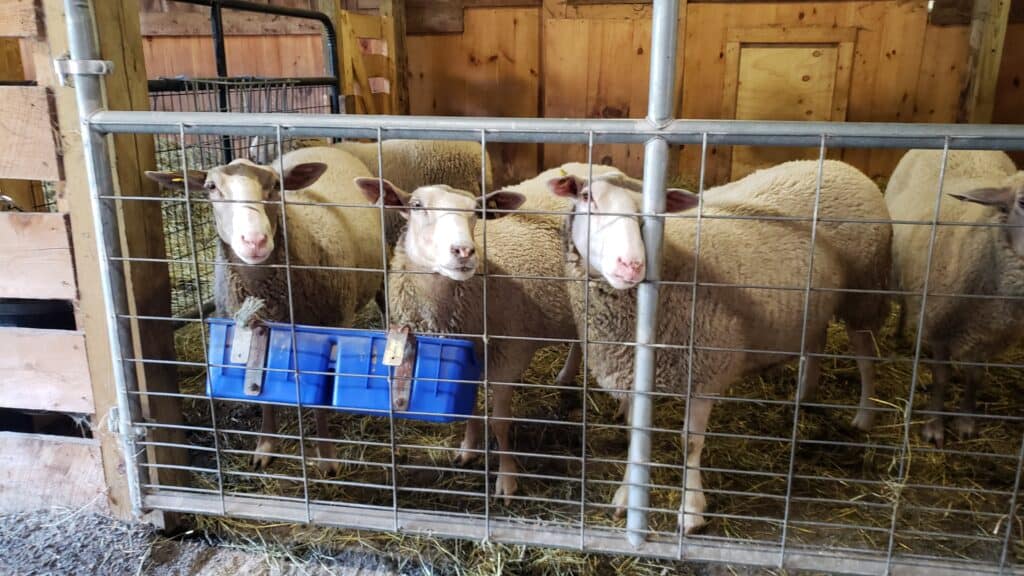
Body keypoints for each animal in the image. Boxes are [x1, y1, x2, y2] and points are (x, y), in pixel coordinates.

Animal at [145, 145, 385, 473]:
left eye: (275, 185)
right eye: (211, 187)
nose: (255, 241)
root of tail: (322, 146)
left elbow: (319, 404)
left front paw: (326, 456)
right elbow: (262, 393)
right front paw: (265, 446)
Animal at [352, 159, 622, 498]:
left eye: (475, 212)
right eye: (417, 205)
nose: (464, 251)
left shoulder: (509, 356)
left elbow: (499, 422)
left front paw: (507, 479)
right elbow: (468, 409)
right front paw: (468, 450)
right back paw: (565, 376)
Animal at [548, 158, 892, 532]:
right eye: (587, 197)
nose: (632, 265)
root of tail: (839, 164)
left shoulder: (704, 370)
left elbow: (690, 443)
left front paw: (691, 510)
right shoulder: (636, 376)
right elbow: (635, 436)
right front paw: (628, 496)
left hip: (864, 293)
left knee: (866, 356)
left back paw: (864, 415)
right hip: (815, 303)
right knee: (817, 340)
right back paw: (803, 395)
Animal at [884, 147, 1019, 444]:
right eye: (1022, 203)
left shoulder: (988, 335)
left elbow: (975, 375)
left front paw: (966, 422)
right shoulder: (939, 322)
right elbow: (942, 376)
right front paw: (934, 427)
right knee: (907, 306)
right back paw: (901, 335)